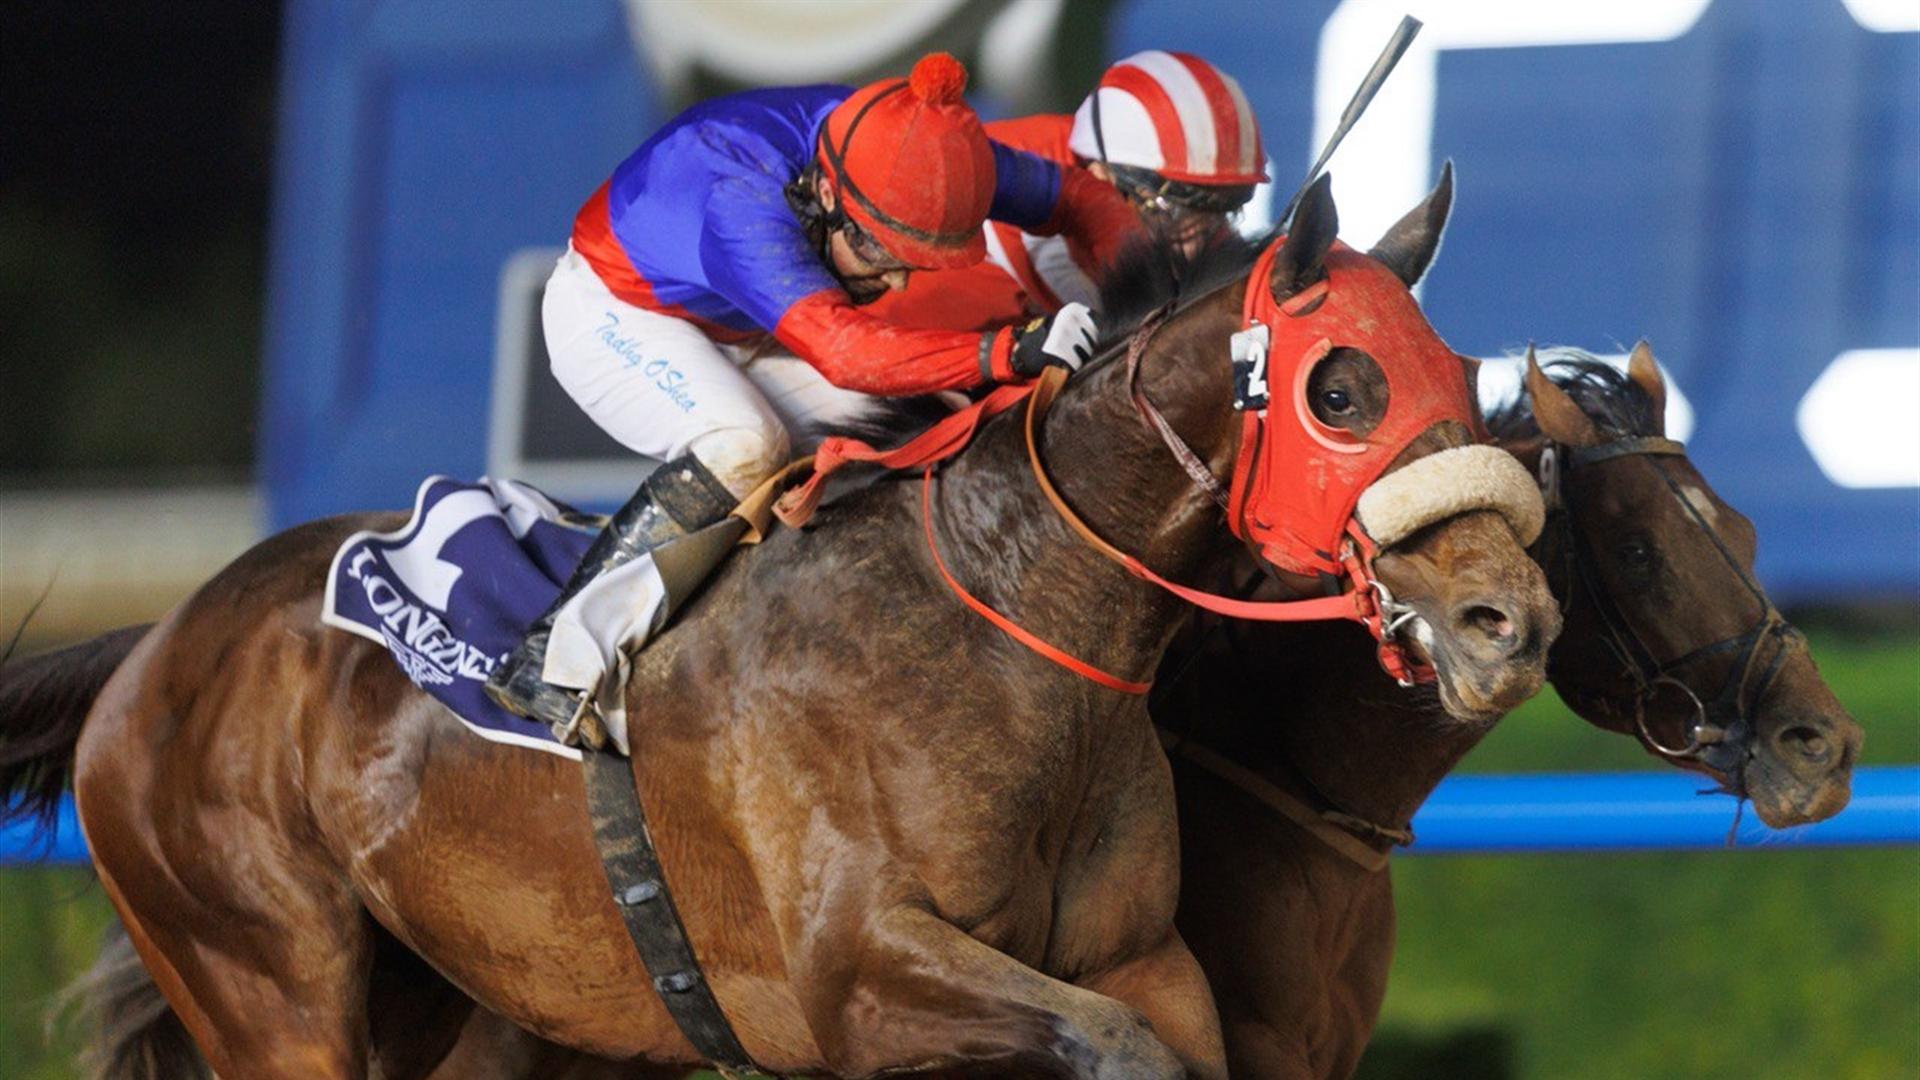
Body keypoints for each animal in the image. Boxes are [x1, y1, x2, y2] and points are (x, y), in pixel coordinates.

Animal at [1, 173, 1557, 1079]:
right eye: (1341, 387)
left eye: (1460, 374)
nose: (1511, 620)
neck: (1010, 627)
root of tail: (155, 643)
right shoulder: (858, 978)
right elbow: (1115, 1052)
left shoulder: (1144, 960)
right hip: (266, 979)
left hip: (446, 998)